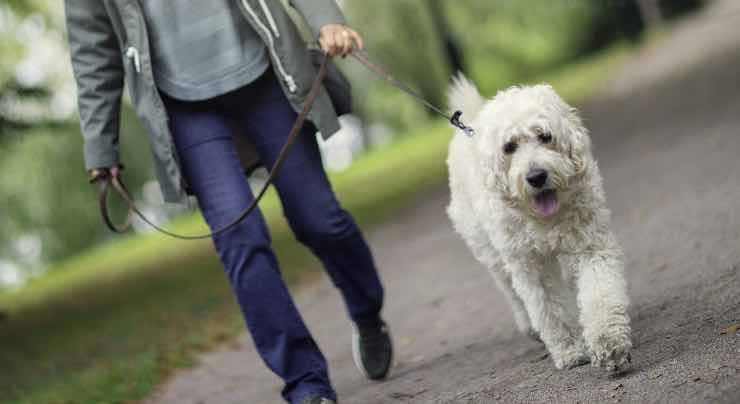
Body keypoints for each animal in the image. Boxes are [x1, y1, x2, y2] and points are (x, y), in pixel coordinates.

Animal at [446, 74, 632, 370]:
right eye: (509, 147)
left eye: (545, 136)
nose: (536, 176)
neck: (544, 219)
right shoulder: (529, 263)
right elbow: (550, 309)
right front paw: (569, 349)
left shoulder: (591, 245)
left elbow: (599, 293)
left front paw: (608, 343)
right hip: (491, 252)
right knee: (511, 291)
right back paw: (530, 326)